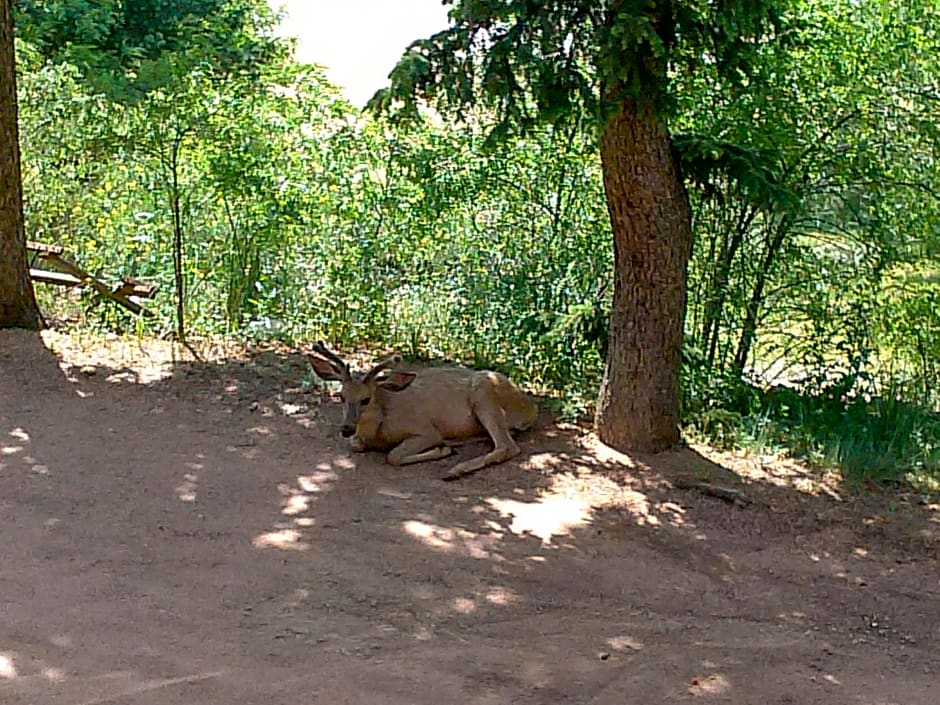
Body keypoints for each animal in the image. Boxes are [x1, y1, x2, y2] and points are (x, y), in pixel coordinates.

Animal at [308, 340, 536, 478]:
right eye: (341, 396)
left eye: (366, 399)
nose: (346, 428)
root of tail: (530, 408)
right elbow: (356, 445)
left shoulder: (426, 431)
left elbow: (393, 456)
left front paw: (442, 450)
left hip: (484, 393)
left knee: (508, 446)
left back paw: (455, 470)